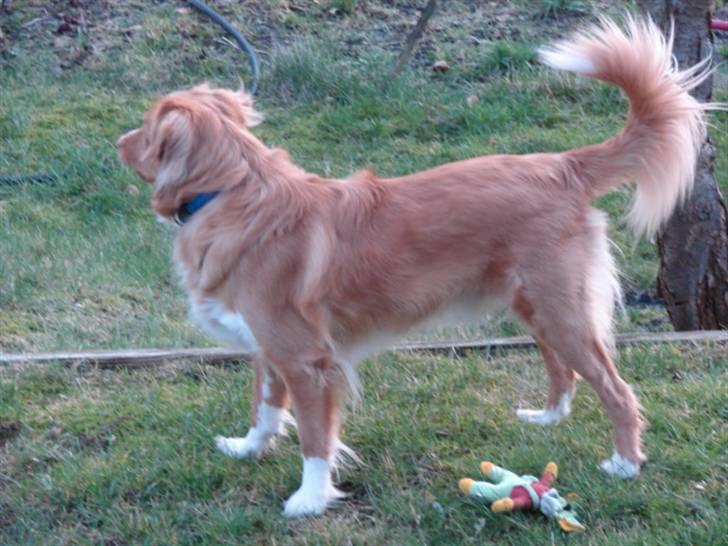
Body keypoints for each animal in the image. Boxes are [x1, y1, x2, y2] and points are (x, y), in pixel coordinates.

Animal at [119, 13, 716, 516]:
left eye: (144, 127)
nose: (119, 141)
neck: (232, 189)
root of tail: (561, 165)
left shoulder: (307, 361)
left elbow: (314, 439)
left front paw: (309, 500)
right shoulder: (270, 350)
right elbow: (264, 410)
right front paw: (247, 448)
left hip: (561, 309)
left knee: (616, 389)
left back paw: (624, 464)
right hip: (538, 306)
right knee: (561, 368)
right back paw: (547, 417)